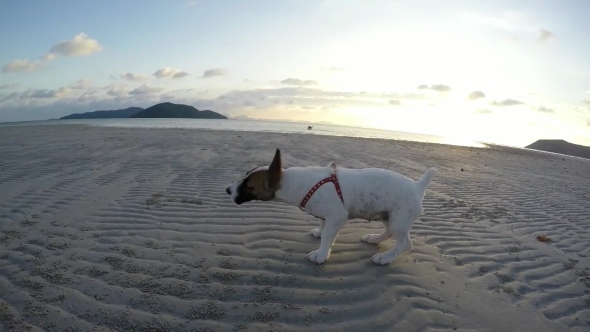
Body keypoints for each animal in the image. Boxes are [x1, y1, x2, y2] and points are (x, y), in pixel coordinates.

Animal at [227, 149, 440, 266]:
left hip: (399, 218)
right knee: (388, 232)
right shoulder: (327, 215)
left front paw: (321, 254)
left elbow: (329, 236)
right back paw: (374, 239)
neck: (291, 182)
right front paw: (320, 233)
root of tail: (418, 186)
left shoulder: (337, 216)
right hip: (390, 216)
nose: (228, 189)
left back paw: (385, 258)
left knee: (405, 243)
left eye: (248, 185)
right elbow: (323, 226)